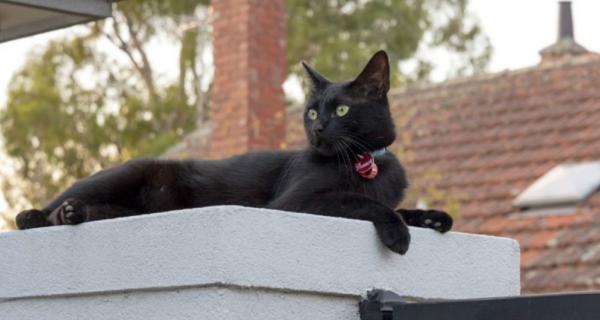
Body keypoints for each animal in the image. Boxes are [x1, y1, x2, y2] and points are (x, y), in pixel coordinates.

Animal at [15, 50, 450, 255]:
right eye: (312, 111)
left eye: (341, 110)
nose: (317, 129)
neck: (364, 163)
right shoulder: (294, 203)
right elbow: (363, 203)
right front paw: (398, 231)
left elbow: (398, 205)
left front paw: (433, 217)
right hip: (121, 174)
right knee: (35, 213)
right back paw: (48, 213)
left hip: (131, 209)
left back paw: (74, 214)